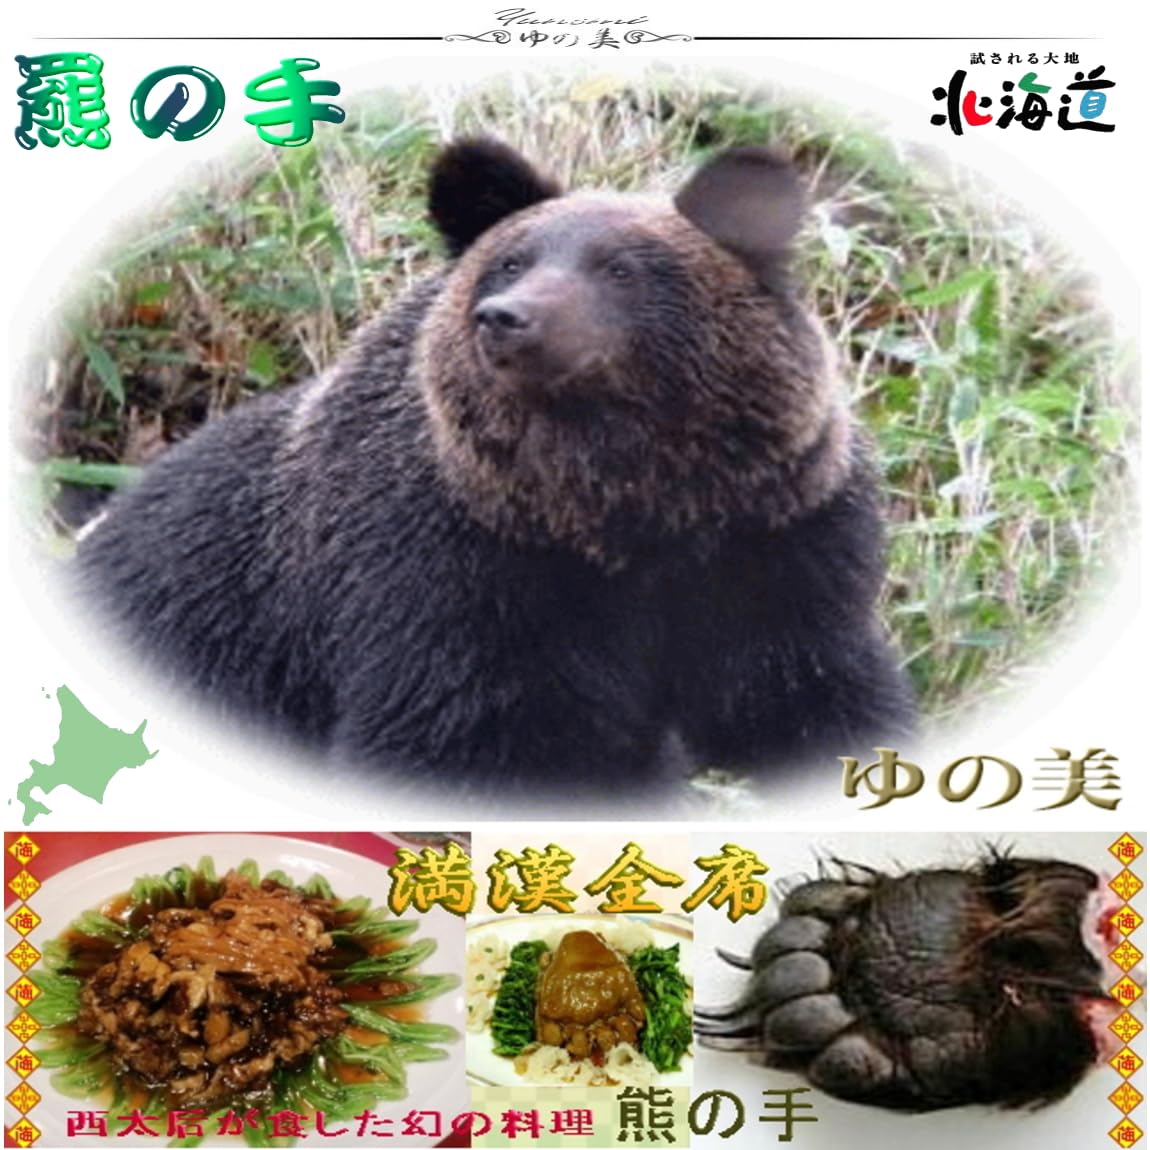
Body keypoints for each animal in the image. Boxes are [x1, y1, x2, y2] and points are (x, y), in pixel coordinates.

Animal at [75, 138, 915, 805]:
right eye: (512, 260)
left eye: (619, 268)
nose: (507, 317)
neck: (622, 511)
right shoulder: (455, 574)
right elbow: (471, 738)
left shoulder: (772, 540)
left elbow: (803, 691)